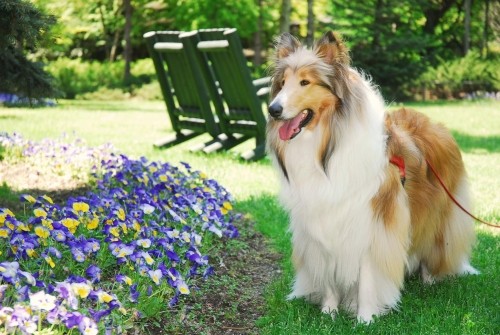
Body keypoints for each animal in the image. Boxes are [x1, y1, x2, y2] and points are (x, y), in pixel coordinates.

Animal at [268, 30, 478, 322]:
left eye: (305, 82)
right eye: (282, 83)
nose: (272, 110)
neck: (326, 147)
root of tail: (435, 123)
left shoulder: (374, 223)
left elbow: (368, 274)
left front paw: (365, 318)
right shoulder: (322, 221)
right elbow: (330, 274)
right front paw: (329, 313)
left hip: (439, 213)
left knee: (432, 244)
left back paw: (428, 279)